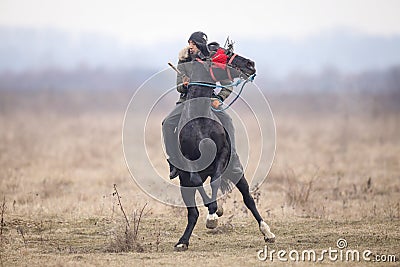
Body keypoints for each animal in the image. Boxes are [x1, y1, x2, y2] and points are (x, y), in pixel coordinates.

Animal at [172, 45, 276, 252]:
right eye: (221, 55)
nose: (251, 64)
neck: (200, 121)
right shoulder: (189, 165)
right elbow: (197, 181)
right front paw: (213, 211)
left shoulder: (223, 154)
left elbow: (215, 181)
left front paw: (214, 213)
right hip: (183, 184)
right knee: (193, 212)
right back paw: (182, 241)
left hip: (236, 171)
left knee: (248, 199)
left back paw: (267, 232)